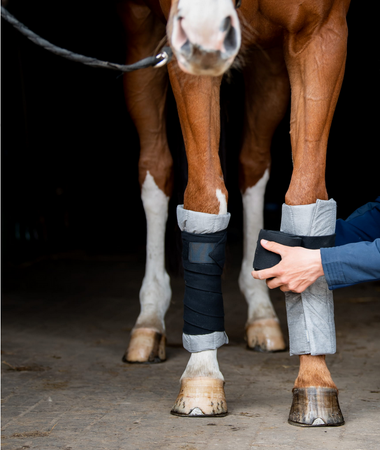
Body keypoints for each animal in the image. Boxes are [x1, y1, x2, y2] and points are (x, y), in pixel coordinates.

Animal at [116, 0, 350, 428]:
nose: (206, 30)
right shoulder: (182, 54)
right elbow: (205, 196)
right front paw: (201, 376)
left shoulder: (322, 32)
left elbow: (305, 194)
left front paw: (314, 378)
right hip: (140, 31)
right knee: (156, 169)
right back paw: (149, 319)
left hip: (267, 62)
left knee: (253, 163)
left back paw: (261, 312)